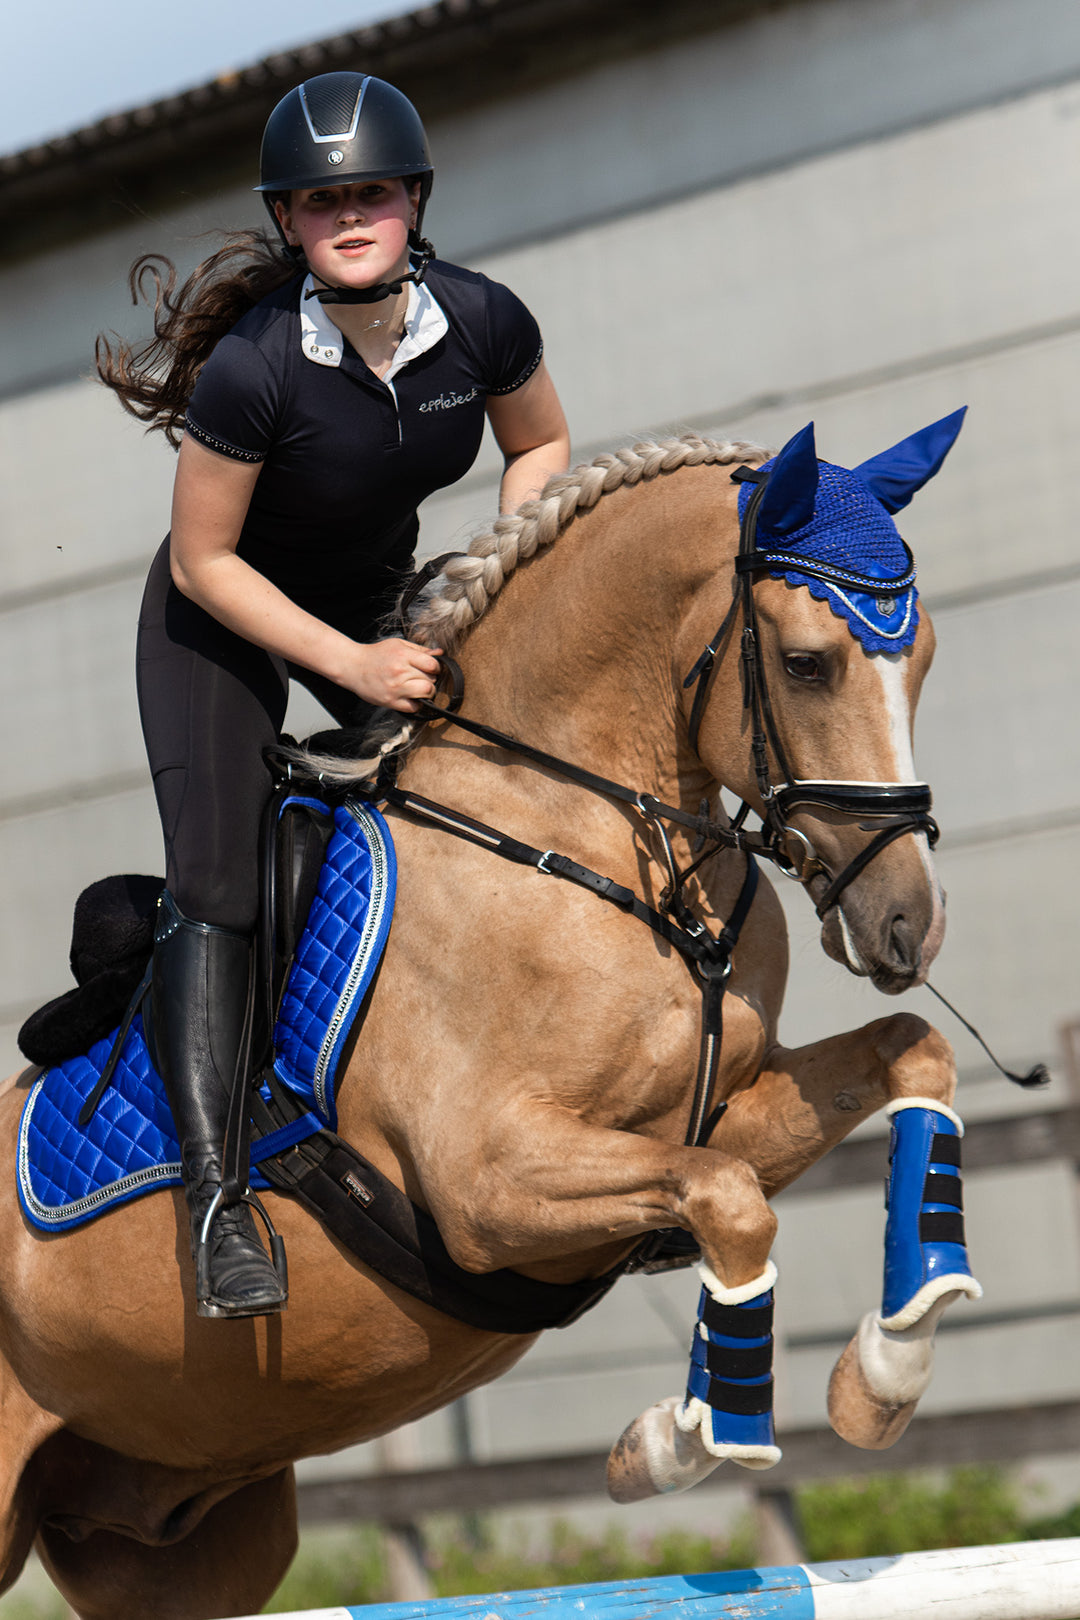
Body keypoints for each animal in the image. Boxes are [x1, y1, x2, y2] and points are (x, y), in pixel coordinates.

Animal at [0, 424, 977, 1613]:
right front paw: (681, 1442)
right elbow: (733, 1204)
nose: (908, 925)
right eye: (805, 663)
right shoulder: (488, 1185)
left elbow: (904, 1061)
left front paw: (883, 1378)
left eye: (924, 656)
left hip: (178, 1533)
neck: (591, 843)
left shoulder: (710, 1121)